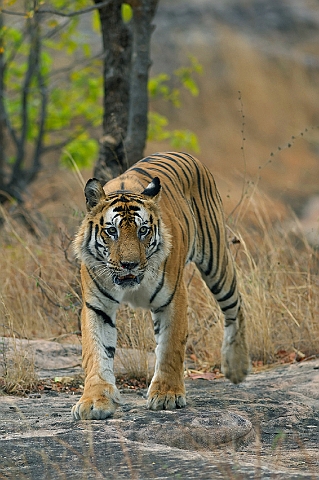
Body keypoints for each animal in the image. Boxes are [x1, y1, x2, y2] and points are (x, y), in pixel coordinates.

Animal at [72, 152, 250, 418]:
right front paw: (94, 400)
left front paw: (167, 395)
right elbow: (96, 351)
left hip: (217, 263)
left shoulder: (173, 299)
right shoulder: (97, 306)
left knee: (236, 307)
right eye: (112, 231)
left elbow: (170, 347)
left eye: (143, 230)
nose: (130, 264)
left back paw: (236, 367)